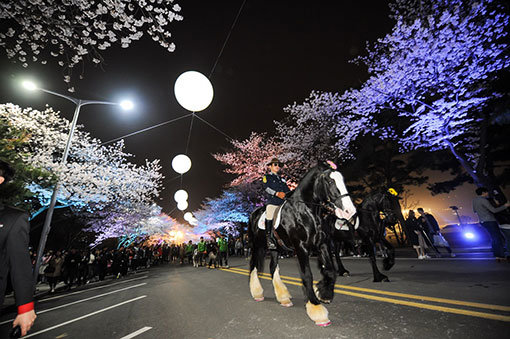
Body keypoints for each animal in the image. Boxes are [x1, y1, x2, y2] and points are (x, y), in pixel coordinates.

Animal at [249, 162, 356, 326]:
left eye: (342, 179)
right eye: (329, 181)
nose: (350, 211)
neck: (305, 211)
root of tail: (254, 213)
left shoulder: (322, 244)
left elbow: (330, 271)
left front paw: (324, 293)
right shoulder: (301, 248)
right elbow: (307, 276)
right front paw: (317, 309)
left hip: (275, 249)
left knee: (273, 267)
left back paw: (283, 298)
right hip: (257, 246)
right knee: (254, 267)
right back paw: (257, 293)